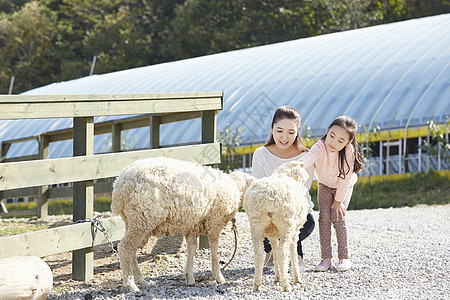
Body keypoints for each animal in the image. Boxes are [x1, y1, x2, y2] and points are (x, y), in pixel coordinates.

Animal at [109, 156, 250, 292]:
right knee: (125, 248)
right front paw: (218, 276)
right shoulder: (214, 222)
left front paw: (189, 277)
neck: (235, 188)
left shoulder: (191, 225)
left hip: (133, 220)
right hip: (142, 219)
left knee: (131, 250)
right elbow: (214, 251)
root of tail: (119, 186)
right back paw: (131, 284)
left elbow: (192, 248)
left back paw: (141, 280)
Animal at [243, 163, 310, 292]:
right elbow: (292, 252)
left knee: (259, 253)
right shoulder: (295, 232)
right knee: (282, 253)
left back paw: (257, 284)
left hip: (256, 224)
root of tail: (269, 195)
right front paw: (297, 278)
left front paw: (277, 277)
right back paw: (286, 285)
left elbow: (274, 250)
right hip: (286, 224)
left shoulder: (272, 233)